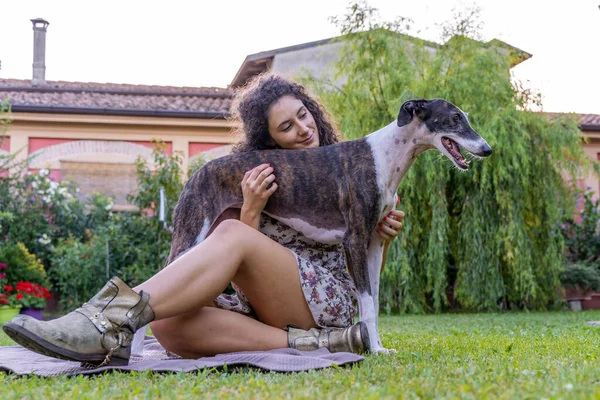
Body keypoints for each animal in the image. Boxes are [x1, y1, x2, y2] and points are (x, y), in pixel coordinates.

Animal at [165, 99, 492, 354]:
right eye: (455, 118)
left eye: (464, 117)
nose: (488, 149)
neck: (385, 156)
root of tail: (196, 174)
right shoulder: (354, 239)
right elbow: (366, 303)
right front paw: (373, 350)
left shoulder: (373, 243)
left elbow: (373, 303)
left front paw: (378, 347)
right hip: (191, 233)